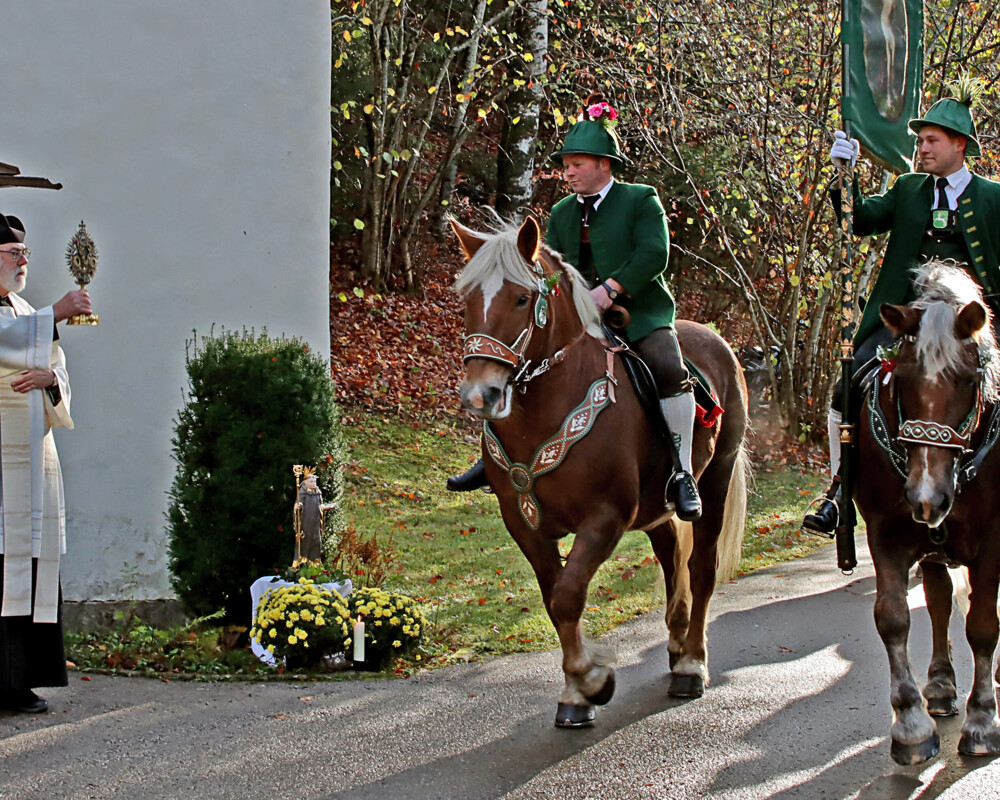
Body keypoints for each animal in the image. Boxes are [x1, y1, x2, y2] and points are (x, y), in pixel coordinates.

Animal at [450, 217, 748, 724]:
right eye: (468, 299)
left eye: (522, 299)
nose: (479, 395)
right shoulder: (525, 525)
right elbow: (554, 601)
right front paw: (577, 689)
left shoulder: (604, 519)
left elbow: (569, 596)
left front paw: (591, 682)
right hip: (657, 507)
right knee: (672, 557)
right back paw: (675, 642)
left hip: (716, 478)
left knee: (701, 567)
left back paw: (691, 662)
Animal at [856, 260, 1000, 764]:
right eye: (901, 379)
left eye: (969, 380)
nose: (926, 497)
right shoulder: (886, 532)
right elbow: (893, 618)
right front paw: (911, 727)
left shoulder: (992, 541)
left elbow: (983, 625)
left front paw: (982, 720)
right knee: (937, 601)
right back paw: (938, 685)